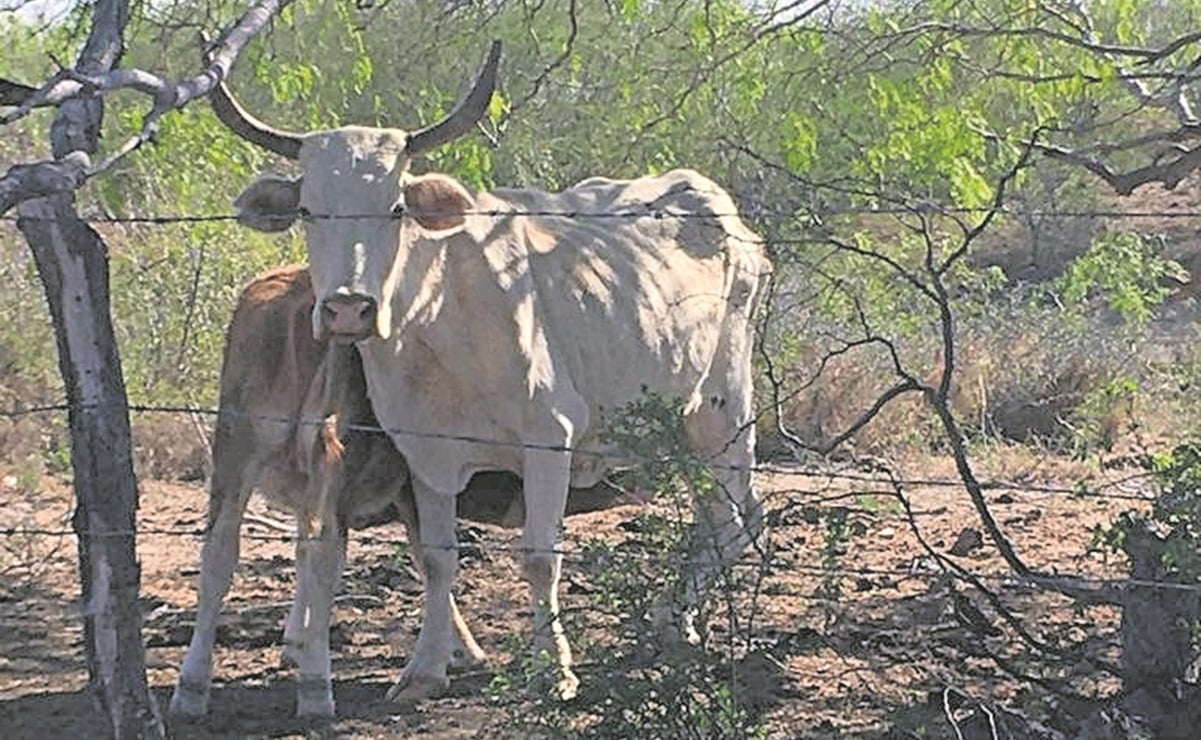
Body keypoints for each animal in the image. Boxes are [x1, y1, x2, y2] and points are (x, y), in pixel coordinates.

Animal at [210, 42, 763, 706]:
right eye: (309, 211)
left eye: (396, 208)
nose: (348, 308)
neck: (438, 317)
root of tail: (717, 207)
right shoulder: (426, 456)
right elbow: (438, 557)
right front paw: (424, 669)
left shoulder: (549, 440)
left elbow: (540, 556)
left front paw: (554, 668)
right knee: (717, 517)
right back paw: (678, 621)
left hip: (721, 410)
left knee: (737, 519)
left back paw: (668, 619)